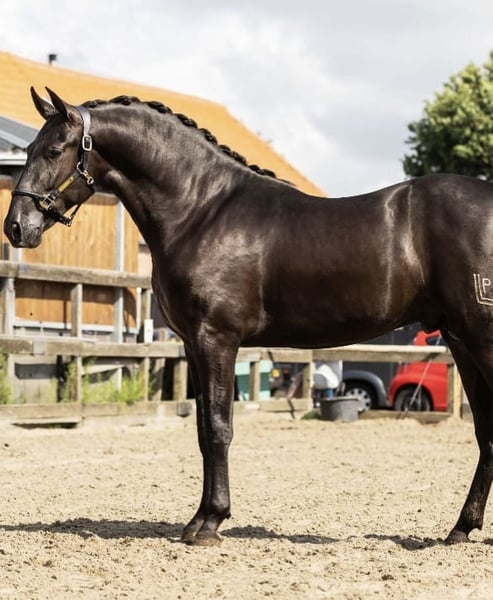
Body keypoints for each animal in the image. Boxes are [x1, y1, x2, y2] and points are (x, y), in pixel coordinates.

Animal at [4, 88, 493, 546]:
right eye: (27, 150)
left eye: (54, 150)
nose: (16, 226)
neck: (201, 210)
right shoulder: (193, 346)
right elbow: (203, 429)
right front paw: (199, 519)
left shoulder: (216, 339)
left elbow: (219, 428)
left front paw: (211, 522)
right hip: (461, 342)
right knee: (485, 432)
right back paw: (460, 528)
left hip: (479, 341)